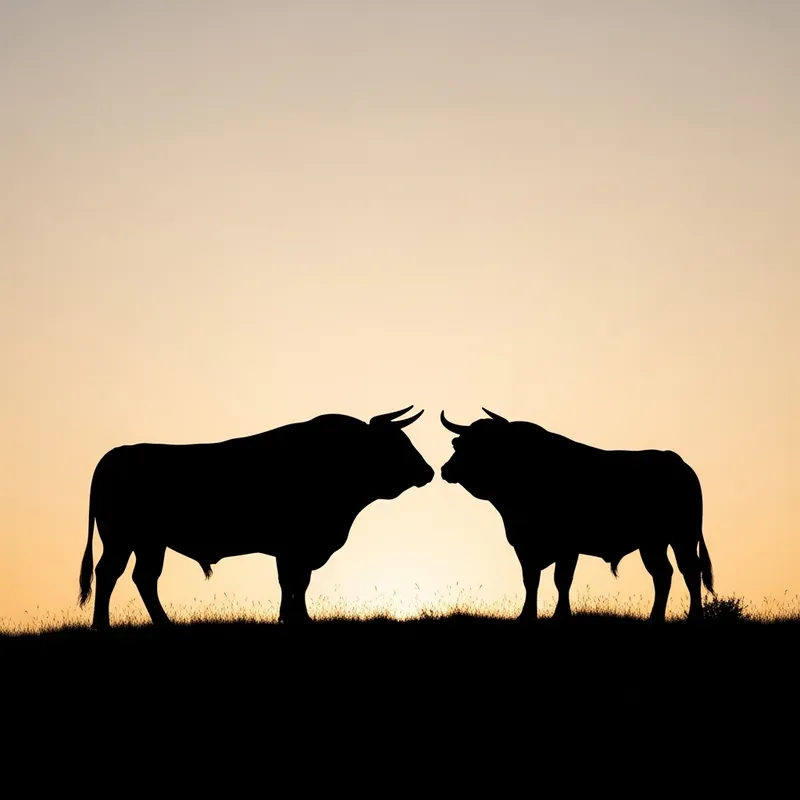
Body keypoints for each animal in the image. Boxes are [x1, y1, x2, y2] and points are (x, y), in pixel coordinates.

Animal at [78, 406, 435, 630]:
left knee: (143, 578)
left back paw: (162, 623)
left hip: (149, 543)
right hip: (122, 539)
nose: (428, 471)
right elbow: (294, 582)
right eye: (396, 443)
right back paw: (102, 625)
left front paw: (292, 617)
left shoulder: (292, 550)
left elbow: (294, 583)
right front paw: (297, 618)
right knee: (109, 574)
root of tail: (115, 455)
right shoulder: (295, 546)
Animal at [439, 408, 715, 622]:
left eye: (483, 445)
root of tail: (679, 463)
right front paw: (526, 616)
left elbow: (561, 580)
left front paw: (561, 616)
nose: (446, 469)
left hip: (683, 537)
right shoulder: (523, 545)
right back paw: (654, 618)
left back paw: (694, 618)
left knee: (690, 570)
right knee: (663, 574)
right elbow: (531, 580)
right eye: (458, 444)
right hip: (653, 544)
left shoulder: (567, 547)